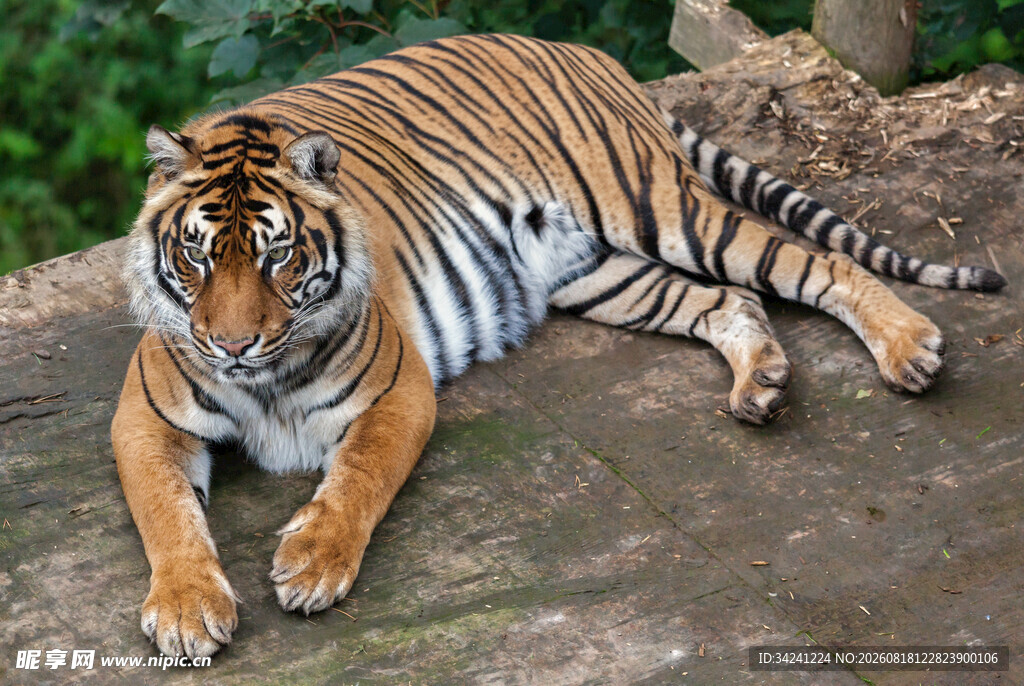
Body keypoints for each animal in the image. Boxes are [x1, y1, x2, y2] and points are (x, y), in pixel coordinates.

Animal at [111, 33, 1005, 659]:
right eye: (196, 255)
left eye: (278, 256)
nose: (231, 345)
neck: (263, 375)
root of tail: (578, 50)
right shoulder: (146, 418)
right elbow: (166, 512)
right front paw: (187, 610)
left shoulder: (399, 390)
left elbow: (359, 476)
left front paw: (312, 564)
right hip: (597, 272)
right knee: (730, 298)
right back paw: (762, 383)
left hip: (661, 208)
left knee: (814, 261)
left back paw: (910, 349)